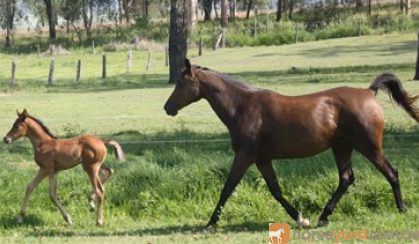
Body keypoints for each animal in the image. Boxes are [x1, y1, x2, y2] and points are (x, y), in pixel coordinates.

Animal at [163, 59, 416, 229]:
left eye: (181, 83)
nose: (168, 107)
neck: (243, 107)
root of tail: (368, 92)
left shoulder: (245, 156)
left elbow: (227, 188)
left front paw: (210, 223)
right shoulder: (262, 159)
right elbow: (275, 190)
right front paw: (301, 218)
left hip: (369, 147)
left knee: (391, 172)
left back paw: (402, 209)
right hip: (342, 147)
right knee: (346, 179)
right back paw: (323, 217)